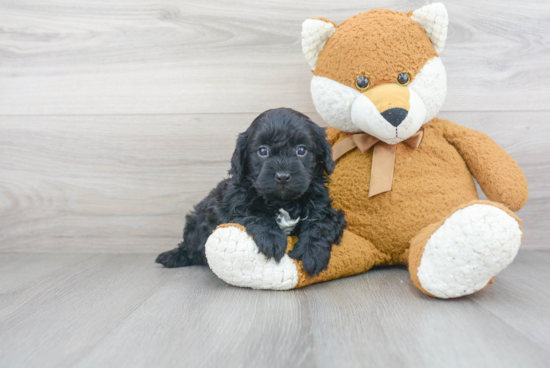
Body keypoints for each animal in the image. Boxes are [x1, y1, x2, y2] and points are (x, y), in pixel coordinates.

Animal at [155, 106, 348, 276]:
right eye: (263, 151)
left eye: (301, 150)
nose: (283, 176)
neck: (282, 202)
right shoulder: (232, 206)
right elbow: (254, 214)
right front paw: (272, 239)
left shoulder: (326, 209)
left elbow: (320, 224)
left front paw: (311, 254)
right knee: (190, 247)